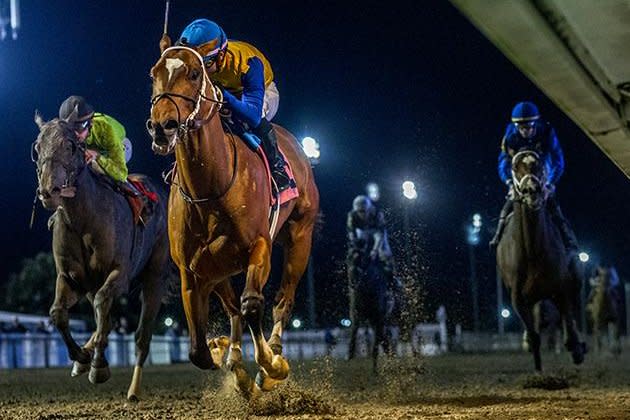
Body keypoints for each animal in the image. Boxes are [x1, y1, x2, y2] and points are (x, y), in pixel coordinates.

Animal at [33, 114, 172, 400]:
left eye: (70, 146)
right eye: (37, 148)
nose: (49, 191)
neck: (82, 218)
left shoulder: (120, 274)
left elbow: (103, 307)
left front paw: (97, 366)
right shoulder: (70, 278)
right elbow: (58, 314)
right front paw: (82, 357)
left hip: (155, 277)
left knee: (142, 337)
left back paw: (133, 390)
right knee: (103, 320)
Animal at [146, 37, 318, 398]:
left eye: (194, 73)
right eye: (154, 73)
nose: (162, 126)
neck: (211, 188)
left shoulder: (259, 246)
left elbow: (252, 304)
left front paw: (271, 367)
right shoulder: (192, 271)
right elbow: (198, 350)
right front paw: (223, 352)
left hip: (300, 237)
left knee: (283, 300)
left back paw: (273, 355)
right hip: (219, 267)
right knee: (233, 309)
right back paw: (236, 359)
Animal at [498, 149, 588, 370]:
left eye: (538, 164)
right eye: (515, 166)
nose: (532, 190)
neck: (532, 253)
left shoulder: (561, 289)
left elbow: (568, 327)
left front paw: (577, 348)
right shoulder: (518, 298)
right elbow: (534, 337)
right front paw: (538, 369)